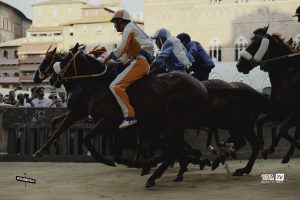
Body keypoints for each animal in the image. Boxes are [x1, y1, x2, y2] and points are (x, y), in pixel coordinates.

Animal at [236, 25, 300, 161]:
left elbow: (283, 130)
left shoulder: (295, 111)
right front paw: (265, 148)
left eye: (255, 43)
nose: (239, 65)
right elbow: (261, 122)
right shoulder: (282, 110)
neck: (289, 74)